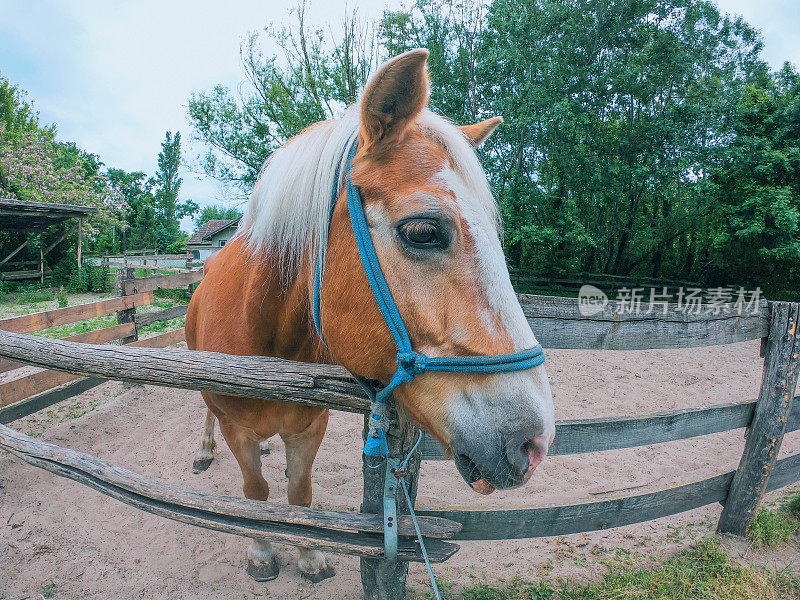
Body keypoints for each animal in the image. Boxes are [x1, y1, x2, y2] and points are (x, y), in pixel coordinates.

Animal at [184, 49, 552, 584]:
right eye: (422, 231)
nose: (535, 441)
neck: (267, 341)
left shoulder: (309, 427)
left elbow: (299, 495)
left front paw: (309, 554)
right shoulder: (238, 429)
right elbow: (256, 496)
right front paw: (262, 551)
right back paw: (205, 450)